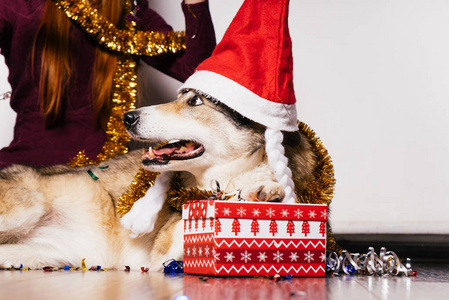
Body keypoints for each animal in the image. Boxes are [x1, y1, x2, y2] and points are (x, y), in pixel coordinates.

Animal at [0, 89, 316, 270]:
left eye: (195, 101)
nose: (127, 117)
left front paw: (266, 190)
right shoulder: (163, 248)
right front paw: (255, 191)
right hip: (28, 207)